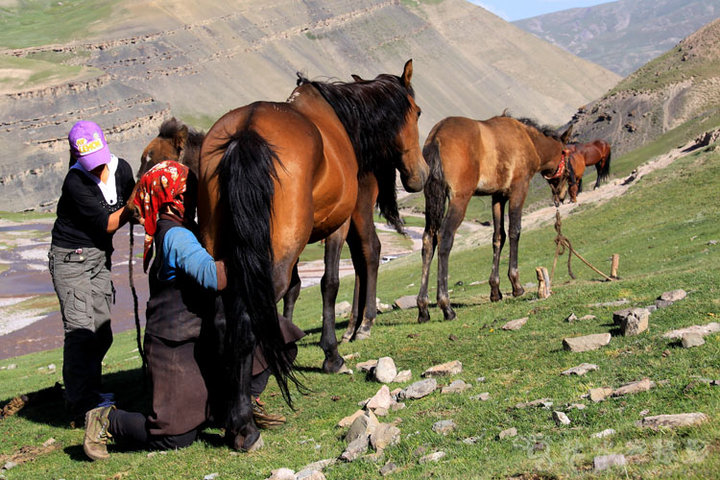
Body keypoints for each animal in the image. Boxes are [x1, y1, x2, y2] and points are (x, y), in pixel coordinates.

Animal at [194, 60, 424, 450]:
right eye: (418, 112)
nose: (419, 176)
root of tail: (245, 134)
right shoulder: (336, 226)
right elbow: (329, 284)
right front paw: (332, 355)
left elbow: (298, 289)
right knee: (246, 321)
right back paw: (244, 425)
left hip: (222, 254)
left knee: (223, 320)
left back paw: (227, 411)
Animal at [416, 114, 572, 320]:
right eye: (568, 161)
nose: (562, 195)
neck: (529, 140)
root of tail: (436, 136)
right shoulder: (519, 189)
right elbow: (514, 231)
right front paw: (516, 285)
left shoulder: (497, 196)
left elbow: (498, 237)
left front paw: (495, 290)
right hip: (459, 199)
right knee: (445, 238)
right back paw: (446, 306)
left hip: (433, 199)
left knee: (429, 240)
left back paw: (423, 308)